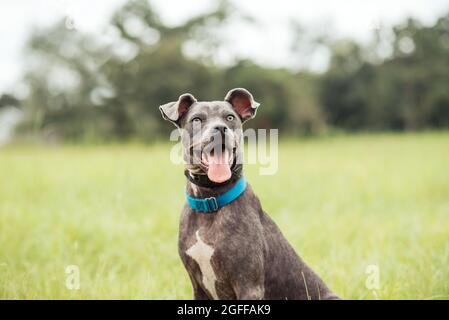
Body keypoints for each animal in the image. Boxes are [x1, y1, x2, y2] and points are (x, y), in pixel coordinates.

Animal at [159, 88, 338, 300]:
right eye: (196, 119)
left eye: (230, 117)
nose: (220, 129)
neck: (209, 200)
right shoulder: (198, 287)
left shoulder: (249, 285)